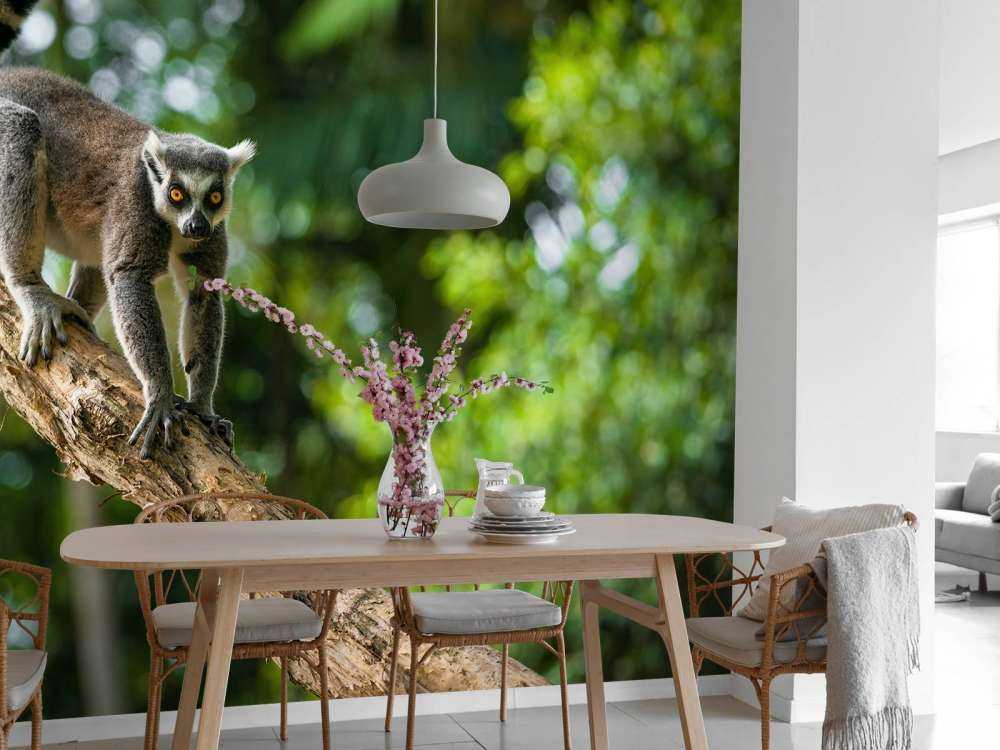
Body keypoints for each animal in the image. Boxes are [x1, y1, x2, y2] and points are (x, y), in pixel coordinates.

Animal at [0, 2, 254, 458]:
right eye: (176, 193)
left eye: (214, 197)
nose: (195, 225)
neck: (170, 224)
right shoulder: (134, 203)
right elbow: (131, 278)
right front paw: (160, 395)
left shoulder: (214, 232)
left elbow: (202, 293)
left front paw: (202, 407)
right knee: (21, 129)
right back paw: (29, 288)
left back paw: (78, 309)